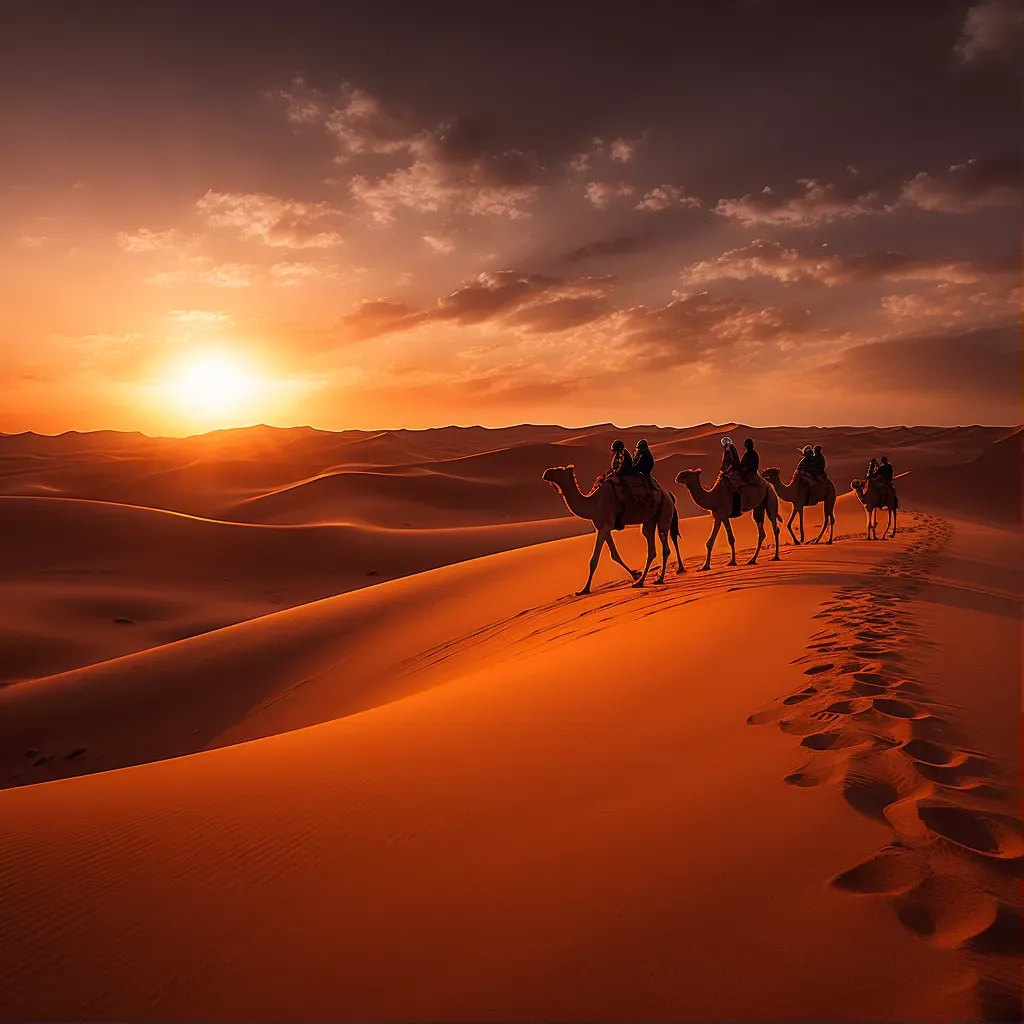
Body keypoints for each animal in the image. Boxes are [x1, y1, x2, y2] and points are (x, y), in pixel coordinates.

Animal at [544, 464, 679, 593]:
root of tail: (668, 494)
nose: (546, 473)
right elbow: (614, 555)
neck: (593, 503)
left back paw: (659, 579)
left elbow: (594, 560)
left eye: (559, 470)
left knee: (664, 545)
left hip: (665, 509)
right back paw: (640, 582)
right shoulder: (604, 528)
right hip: (650, 520)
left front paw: (584, 590)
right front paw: (635, 574)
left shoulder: (604, 527)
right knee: (650, 546)